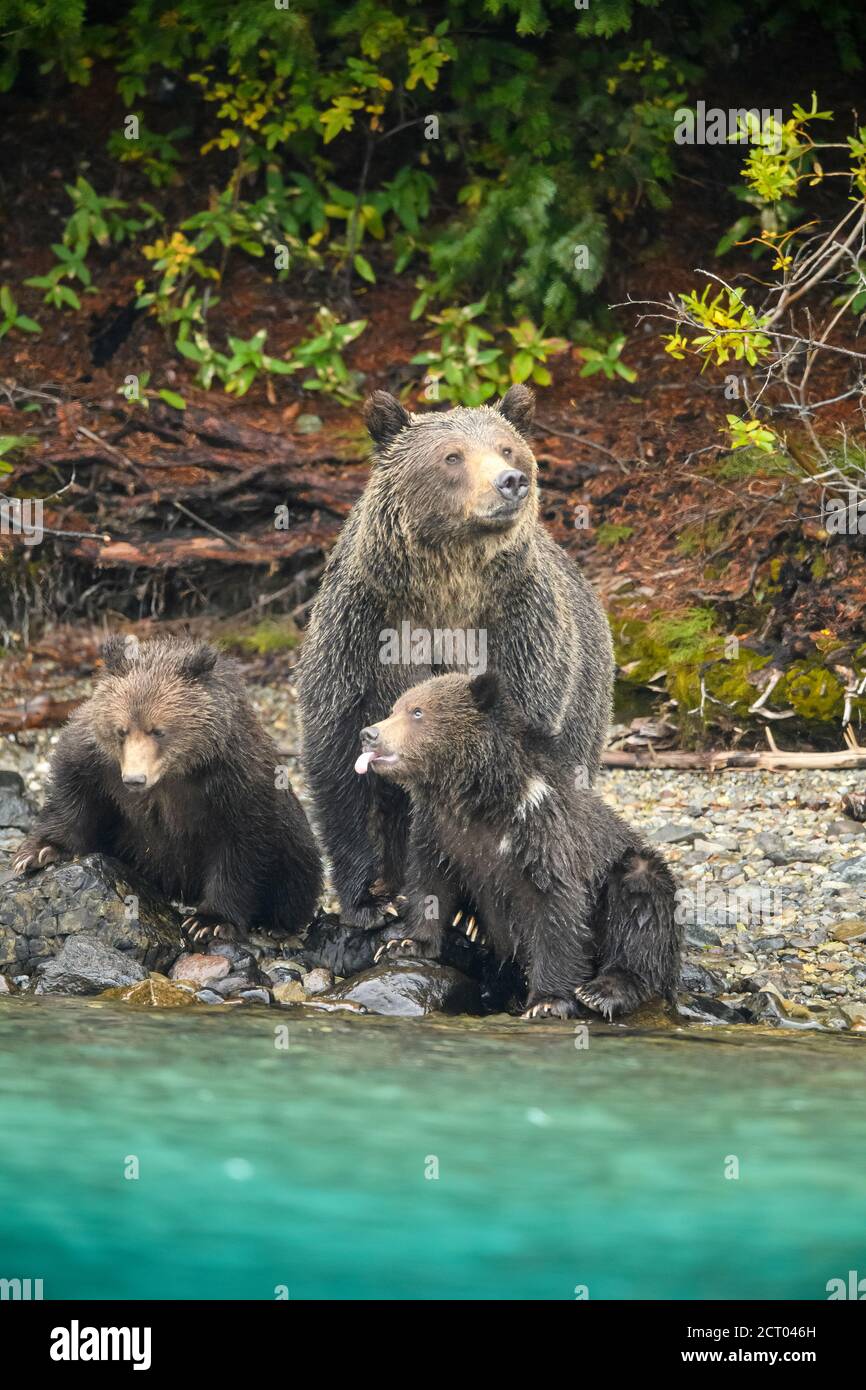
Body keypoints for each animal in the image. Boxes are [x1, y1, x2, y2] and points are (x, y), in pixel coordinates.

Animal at [12, 633, 325, 939]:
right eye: (122, 730)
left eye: (158, 730)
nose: (135, 779)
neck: (175, 773)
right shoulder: (97, 763)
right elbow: (73, 796)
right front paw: (38, 852)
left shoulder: (237, 785)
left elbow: (240, 849)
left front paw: (209, 921)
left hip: (294, 841)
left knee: (298, 873)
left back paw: (274, 924)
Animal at [300, 386, 617, 928]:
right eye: (452, 456)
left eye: (507, 448)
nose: (512, 481)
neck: (447, 588)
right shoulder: (360, 634)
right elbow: (343, 765)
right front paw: (371, 897)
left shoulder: (521, 635)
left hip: (586, 702)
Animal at [355, 672, 681, 1023]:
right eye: (395, 708)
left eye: (417, 712)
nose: (369, 734)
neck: (478, 800)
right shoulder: (438, 832)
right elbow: (429, 884)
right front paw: (403, 943)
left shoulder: (542, 833)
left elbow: (557, 909)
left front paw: (547, 1001)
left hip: (631, 871)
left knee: (641, 901)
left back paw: (604, 990)